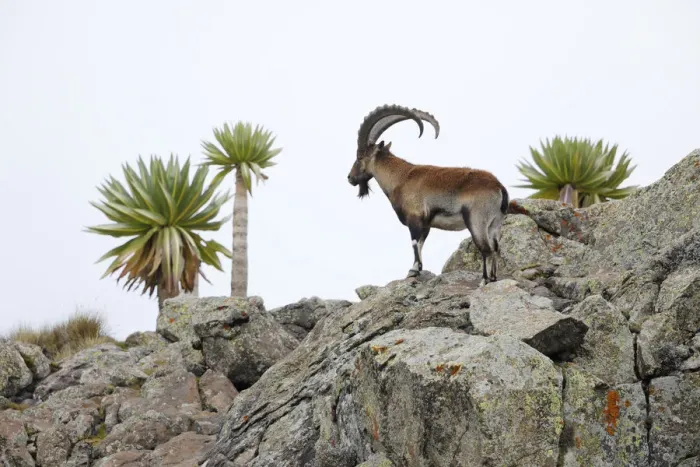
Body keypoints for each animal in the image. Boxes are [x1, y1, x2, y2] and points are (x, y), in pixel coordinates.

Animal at [347, 104, 509, 285]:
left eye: (359, 157)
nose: (350, 178)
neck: (401, 177)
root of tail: (499, 187)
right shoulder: (426, 224)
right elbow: (421, 243)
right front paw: (414, 270)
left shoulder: (415, 218)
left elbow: (414, 243)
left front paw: (414, 272)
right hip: (495, 223)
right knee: (496, 248)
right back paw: (494, 278)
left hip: (477, 221)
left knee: (486, 249)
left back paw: (484, 281)